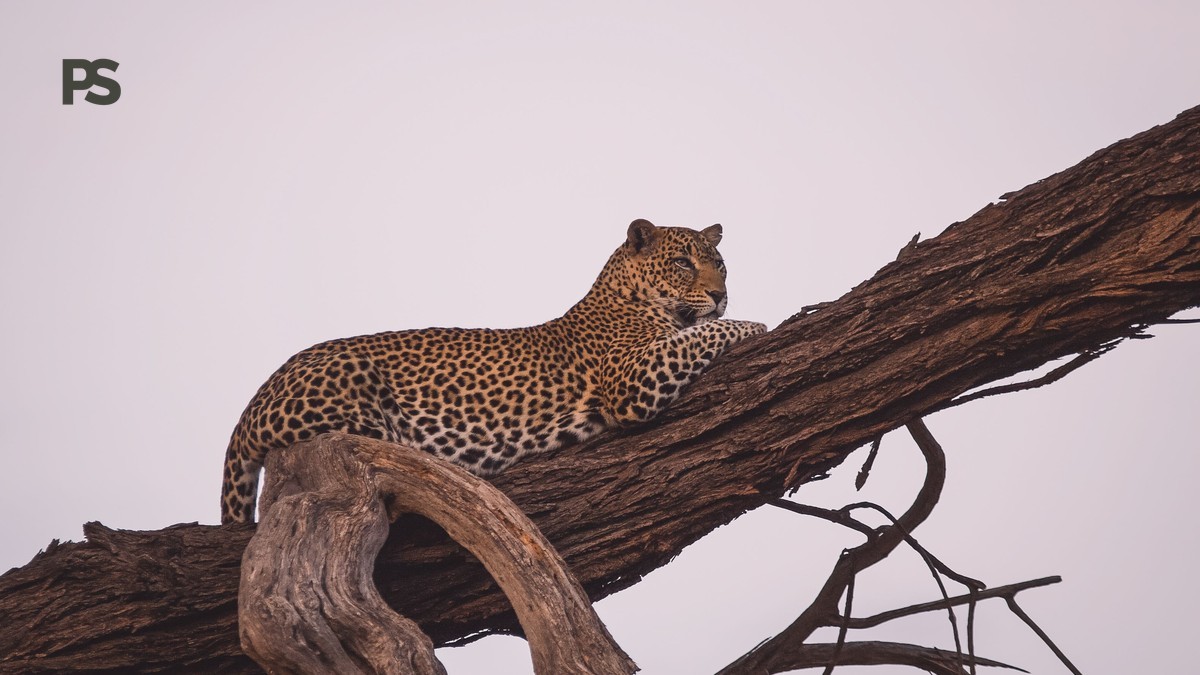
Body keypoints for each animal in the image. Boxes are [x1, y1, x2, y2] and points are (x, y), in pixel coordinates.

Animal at [221, 219, 767, 523]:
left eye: (720, 263)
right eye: (682, 262)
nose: (720, 294)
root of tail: (252, 405)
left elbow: (697, 332)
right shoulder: (630, 375)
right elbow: (699, 335)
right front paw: (755, 324)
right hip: (350, 383)